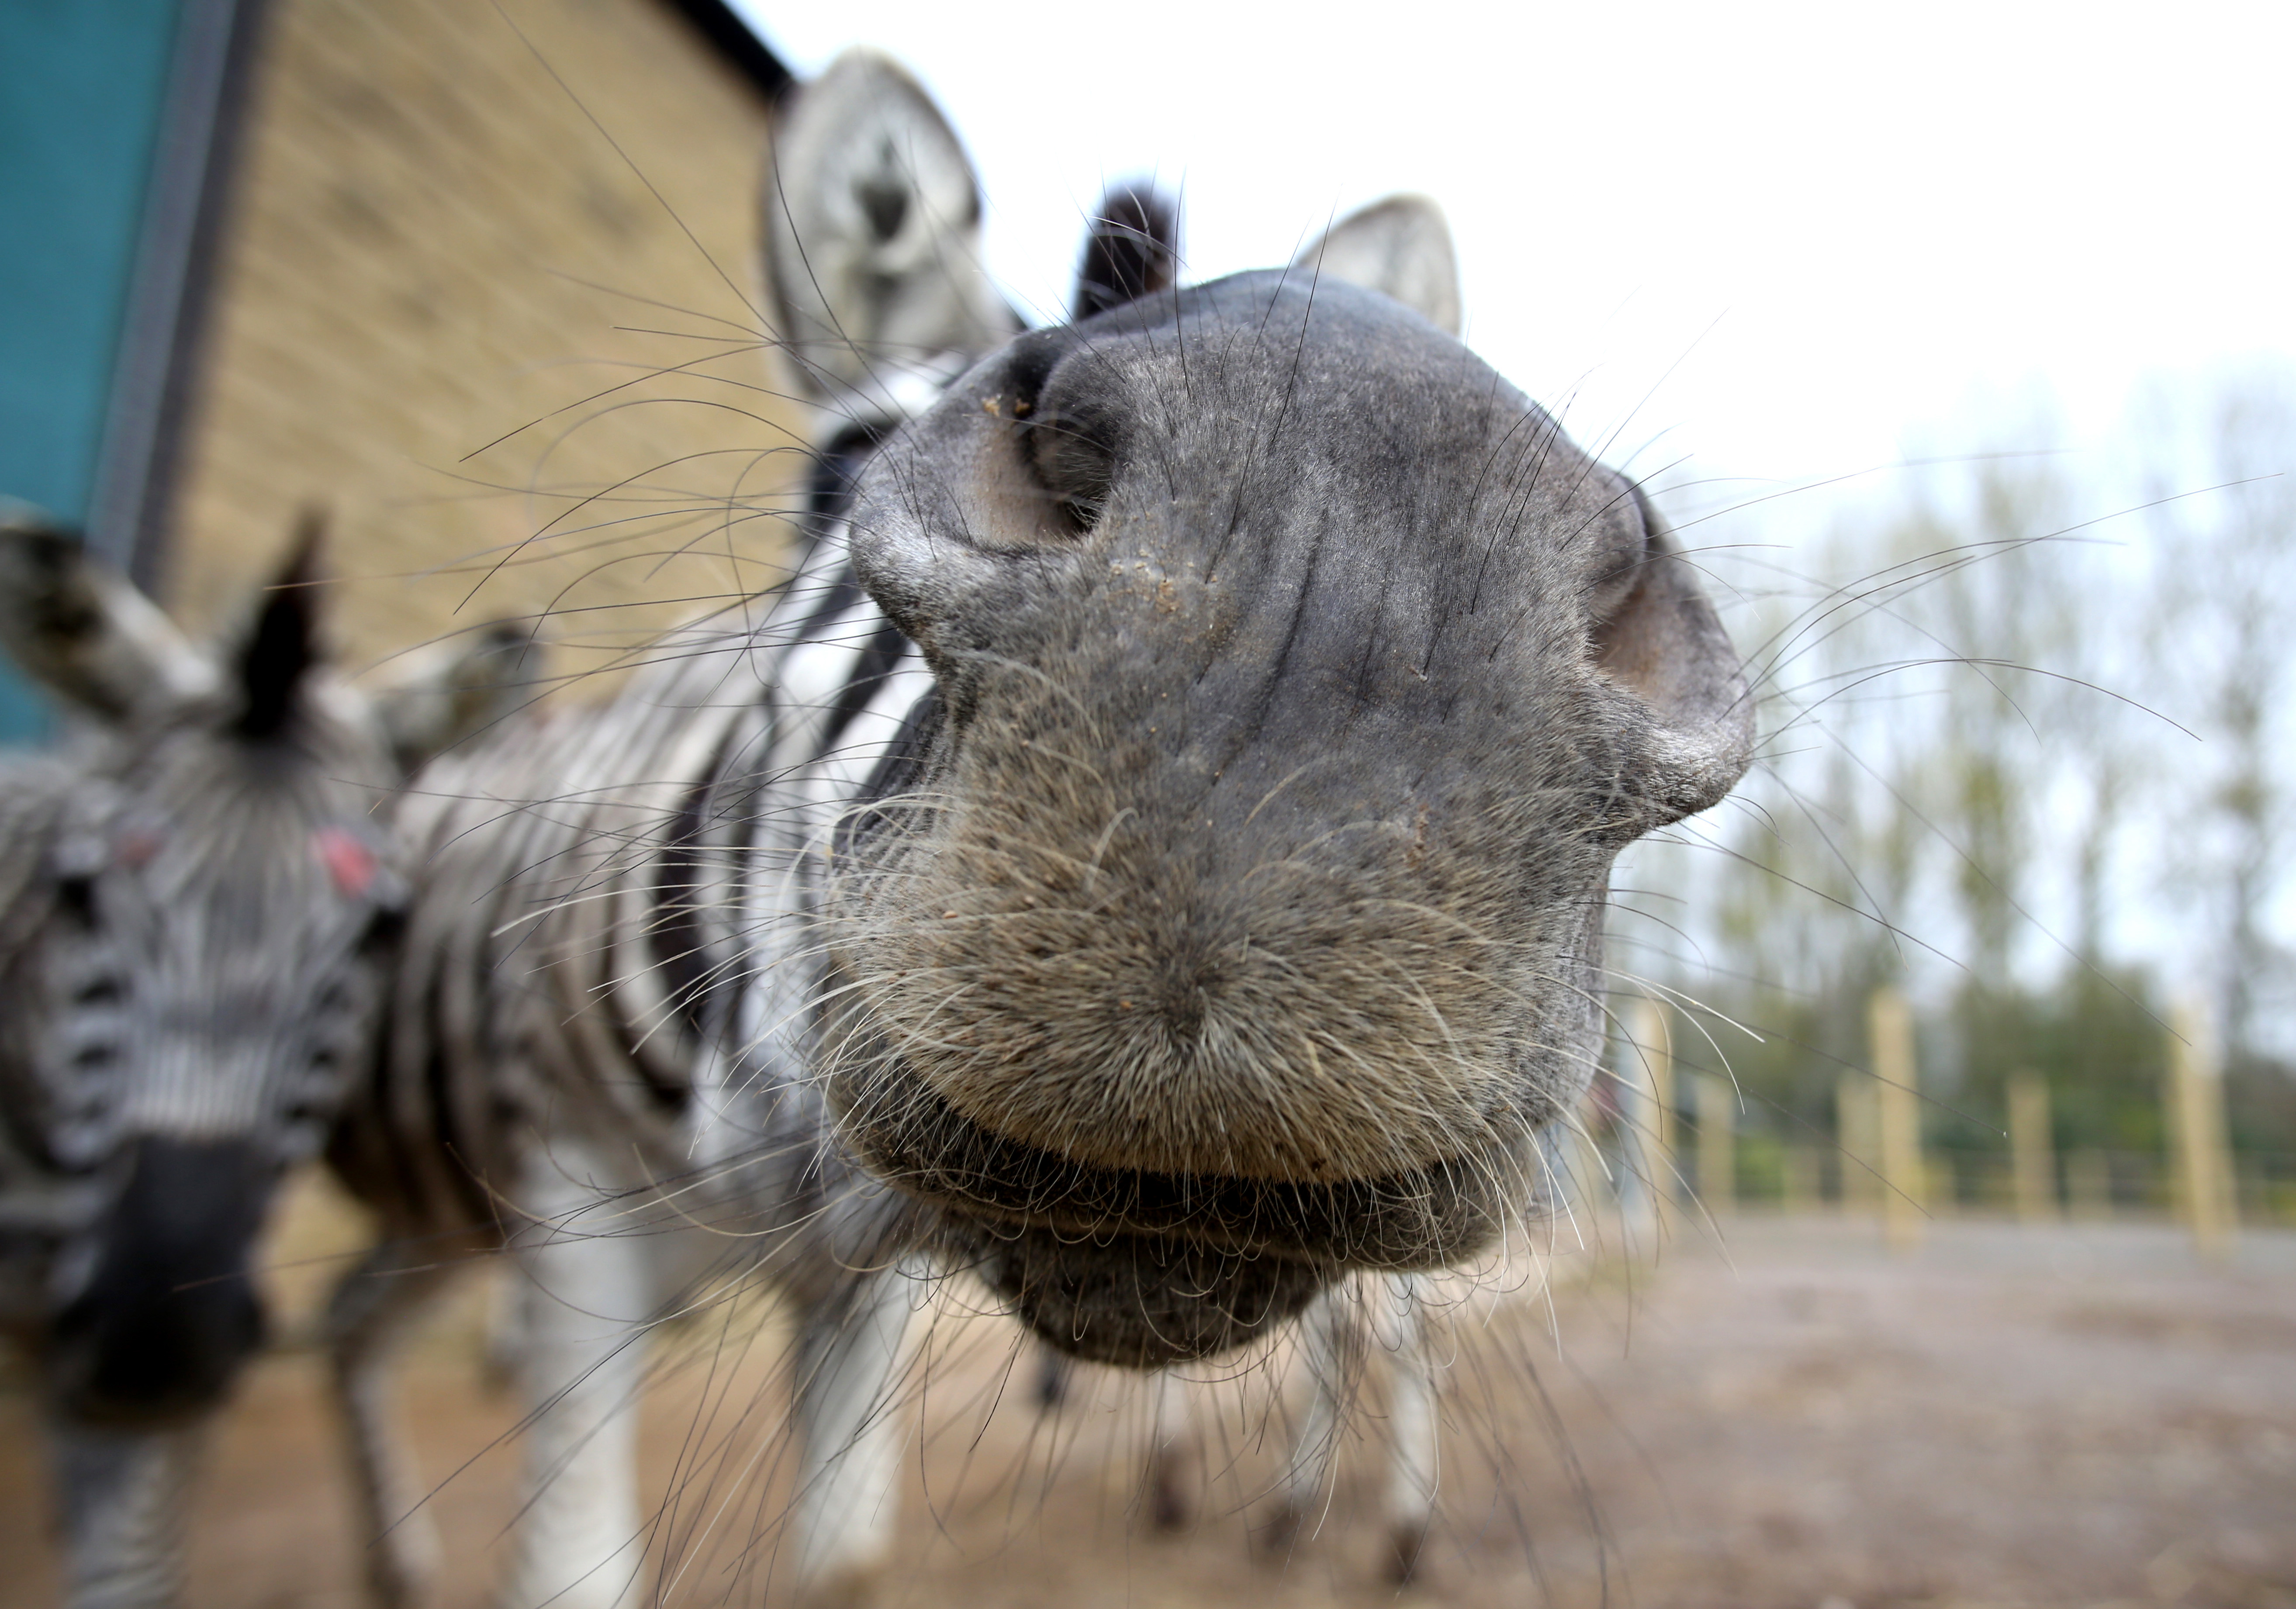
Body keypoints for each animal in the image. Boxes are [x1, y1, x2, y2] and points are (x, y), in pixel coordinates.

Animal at [326, 44, 1753, 1609]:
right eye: (836, 469)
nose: (1339, 586)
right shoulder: (573, 1205)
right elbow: (571, 1567)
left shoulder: (853, 1291)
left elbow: (840, 1571)